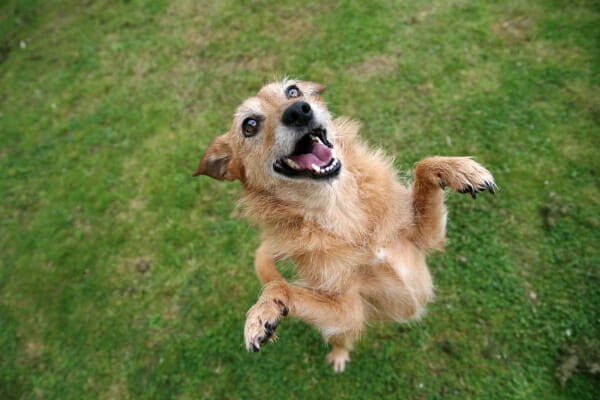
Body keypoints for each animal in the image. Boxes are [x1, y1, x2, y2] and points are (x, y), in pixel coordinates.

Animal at [193, 79, 496, 374]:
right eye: (250, 125)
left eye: (293, 91)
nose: (298, 111)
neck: (341, 210)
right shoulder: (348, 310)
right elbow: (280, 287)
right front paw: (265, 309)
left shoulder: (425, 239)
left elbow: (423, 166)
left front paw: (460, 170)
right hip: (344, 328)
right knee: (341, 339)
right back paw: (338, 356)